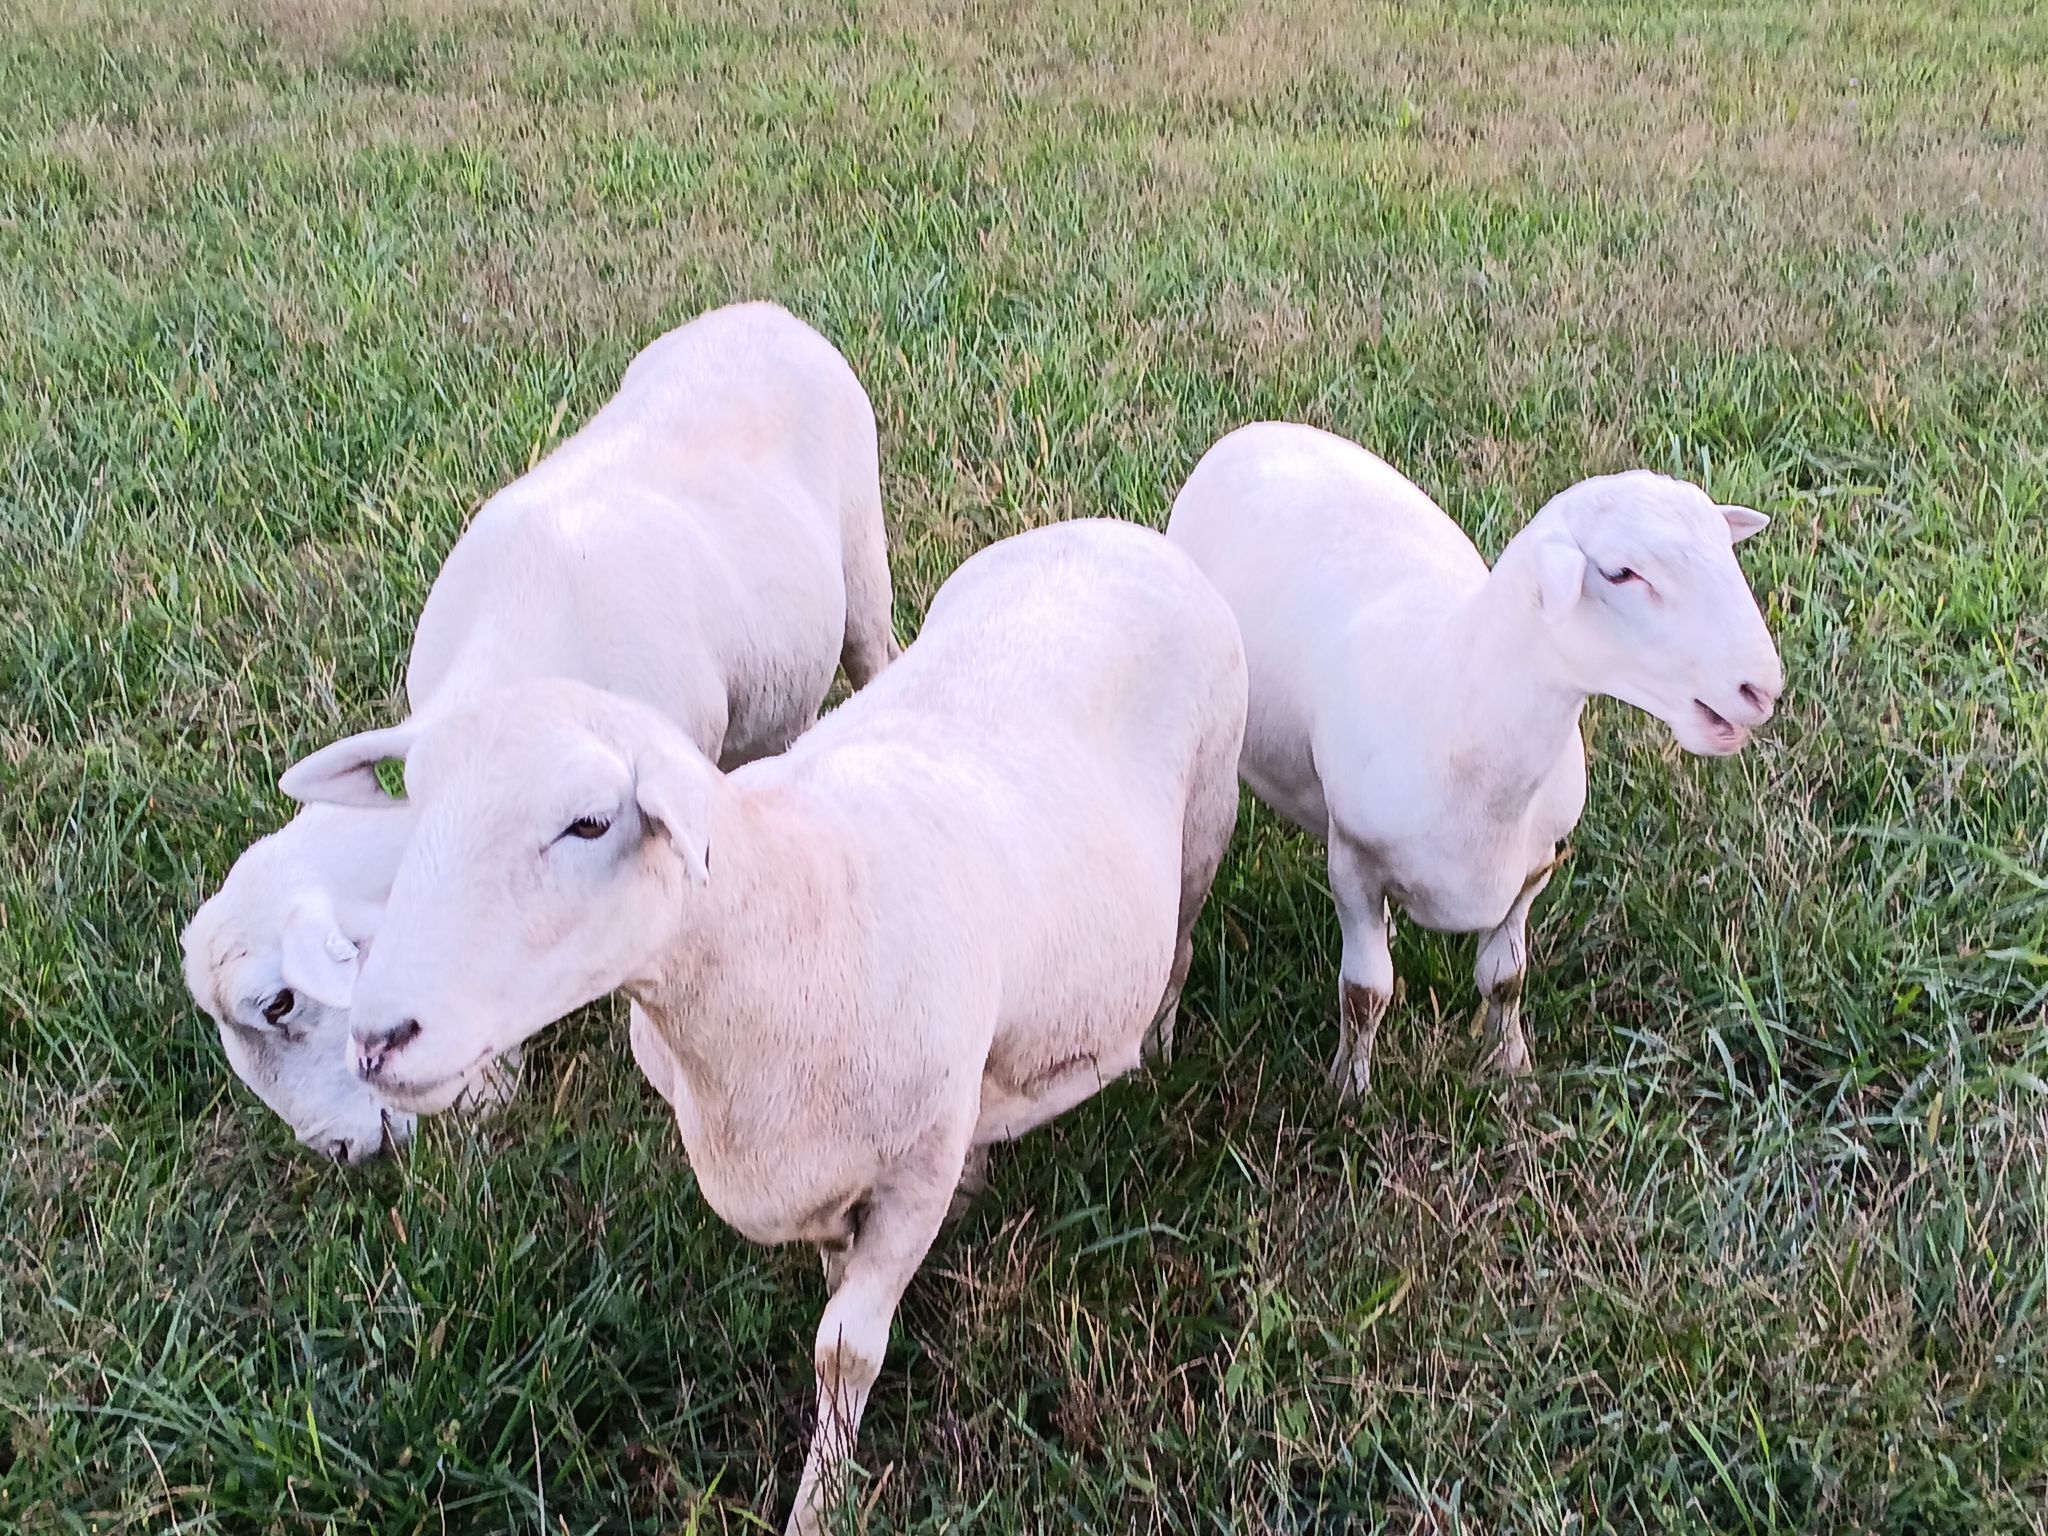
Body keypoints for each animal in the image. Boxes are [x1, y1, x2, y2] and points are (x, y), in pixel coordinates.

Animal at [273, 519, 1249, 1533]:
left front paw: (822, 1504)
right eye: (413, 803)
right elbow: (832, 1276)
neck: (786, 913)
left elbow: (844, 1348)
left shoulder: (916, 1164)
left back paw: (1157, 1055)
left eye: (589, 823)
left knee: (1177, 953)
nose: (379, 1039)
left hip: (1202, 829)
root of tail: (1117, 533)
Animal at [1166, 422, 1783, 1094]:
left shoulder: (1532, 870)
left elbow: (1505, 979)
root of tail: (1257, 430)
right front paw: (1348, 1090)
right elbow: (1365, 992)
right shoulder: (1353, 865)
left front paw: (1510, 1068)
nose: (1762, 688)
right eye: (1621, 573)